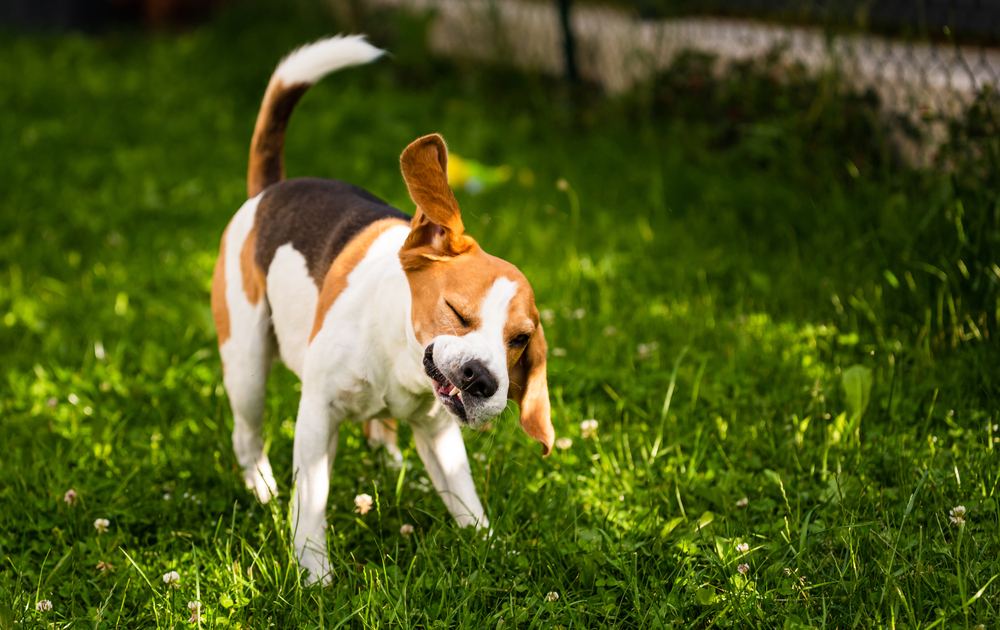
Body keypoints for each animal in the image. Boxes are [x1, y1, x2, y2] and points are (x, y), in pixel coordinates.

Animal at [211, 35, 556, 588]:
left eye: (520, 340)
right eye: (457, 311)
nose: (482, 380)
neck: (401, 361)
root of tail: (270, 189)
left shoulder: (441, 436)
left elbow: (467, 502)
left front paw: (496, 553)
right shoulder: (317, 413)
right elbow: (312, 505)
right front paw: (315, 576)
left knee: (378, 433)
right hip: (246, 366)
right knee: (248, 437)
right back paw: (262, 488)